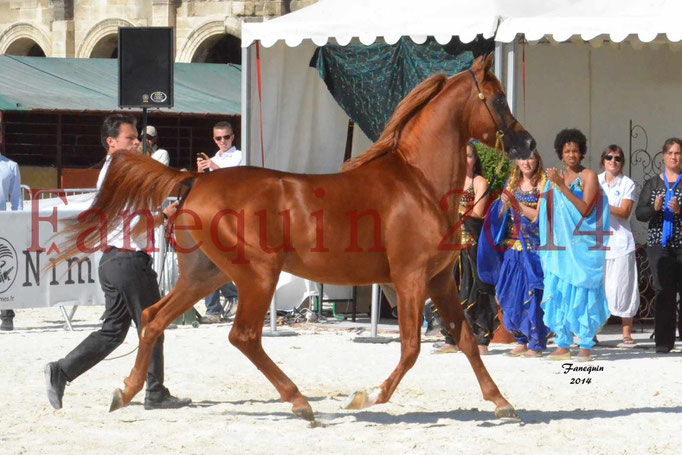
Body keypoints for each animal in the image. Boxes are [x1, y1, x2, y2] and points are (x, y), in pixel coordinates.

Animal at [59, 55, 532, 422]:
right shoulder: (410, 278)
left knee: (154, 317)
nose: (527, 144)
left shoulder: (439, 280)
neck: (418, 182)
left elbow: (467, 340)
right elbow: (412, 348)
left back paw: (125, 392)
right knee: (243, 335)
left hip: (206, 274)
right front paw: (365, 396)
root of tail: (195, 180)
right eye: (499, 98)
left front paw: (501, 403)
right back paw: (300, 402)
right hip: (257, 274)